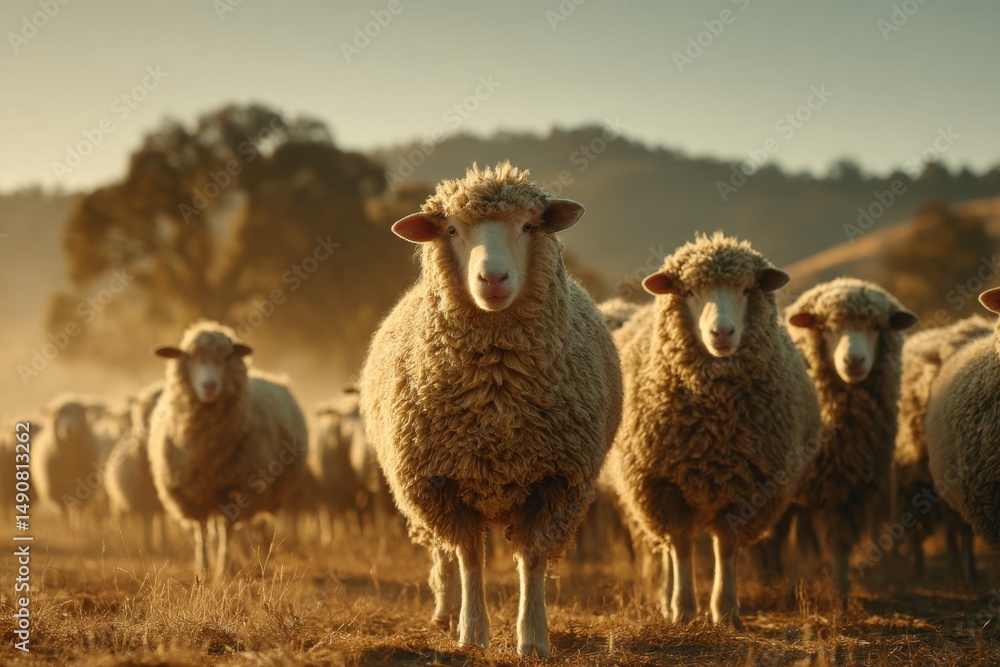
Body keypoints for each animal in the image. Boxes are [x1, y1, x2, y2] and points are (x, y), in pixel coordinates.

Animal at [104, 382, 167, 551]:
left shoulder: (158, 501)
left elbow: (159, 520)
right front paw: (146, 546)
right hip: (119, 501)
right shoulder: (139, 501)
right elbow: (144, 521)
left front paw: (161, 543)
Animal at [147, 320, 309, 578]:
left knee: (243, 527)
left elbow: (227, 529)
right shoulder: (190, 492)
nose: (209, 386)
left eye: (226, 357)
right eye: (189, 357)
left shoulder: (237, 486)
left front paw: (223, 570)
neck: (206, 450)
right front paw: (202, 570)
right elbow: (201, 529)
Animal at [359, 162, 622, 657]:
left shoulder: (556, 483)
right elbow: (469, 557)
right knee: (443, 554)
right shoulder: (442, 484)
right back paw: (445, 613)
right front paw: (472, 632)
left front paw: (533, 637)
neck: (496, 388)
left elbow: (533, 559)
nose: (493, 279)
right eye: (451, 229)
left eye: (528, 226)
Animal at [607, 232, 821, 630]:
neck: (714, 428)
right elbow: (681, 546)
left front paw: (726, 612)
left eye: (746, 288)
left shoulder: (747, 486)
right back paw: (665, 599)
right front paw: (683, 610)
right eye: (690, 291)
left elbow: (726, 547)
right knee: (666, 548)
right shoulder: (663, 484)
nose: (722, 333)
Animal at [778, 278, 917, 604]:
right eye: (828, 327)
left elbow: (839, 543)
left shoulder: (847, 487)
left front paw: (840, 594)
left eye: (877, 328)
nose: (853, 361)